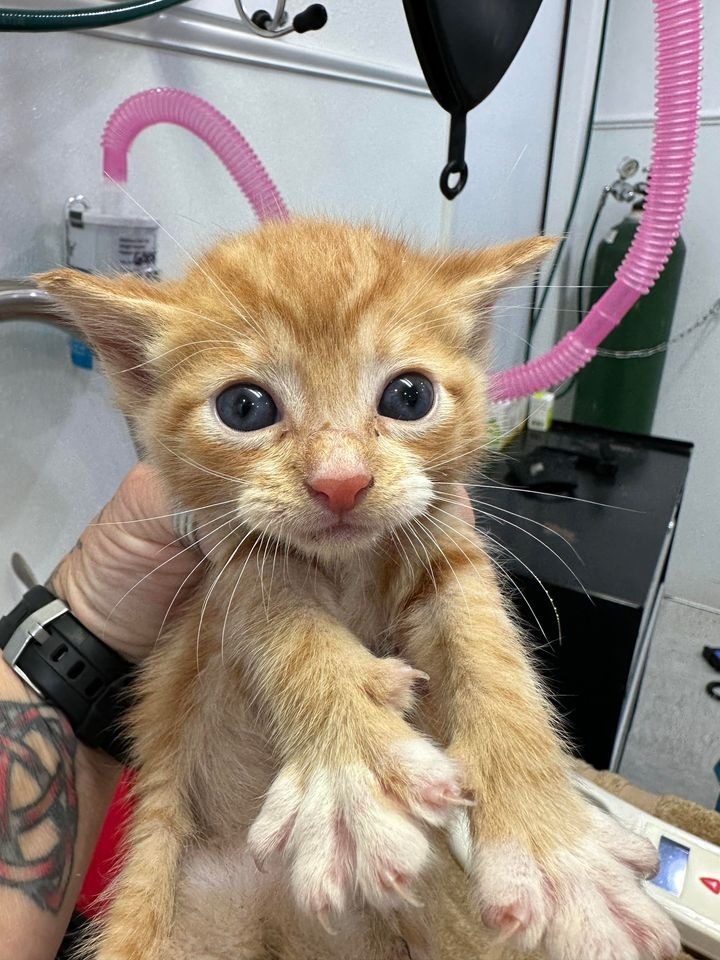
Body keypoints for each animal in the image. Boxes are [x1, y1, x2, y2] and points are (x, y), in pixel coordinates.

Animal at [38, 221, 680, 956]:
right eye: (244, 407)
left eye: (409, 397)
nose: (340, 481)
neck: (348, 566)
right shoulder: (231, 562)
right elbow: (286, 628)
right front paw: (354, 776)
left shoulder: (445, 540)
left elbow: (488, 651)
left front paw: (556, 846)